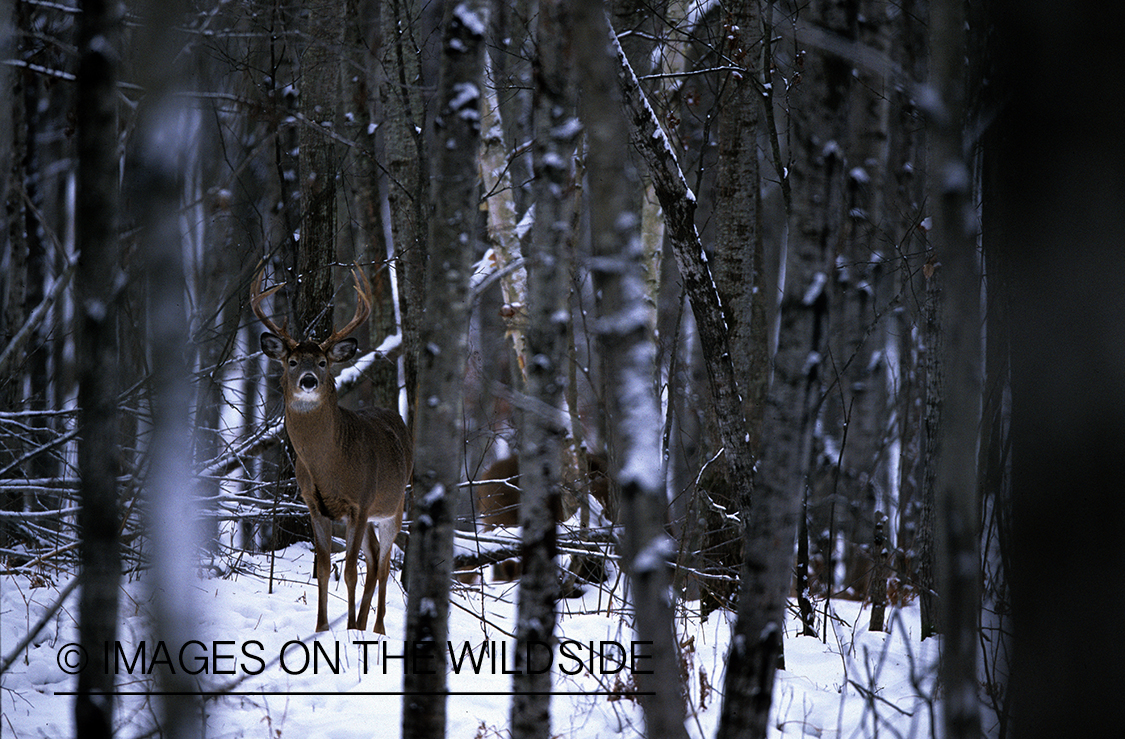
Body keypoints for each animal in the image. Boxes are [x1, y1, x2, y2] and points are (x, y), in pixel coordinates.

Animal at [251, 263, 412, 634]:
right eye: (293, 361)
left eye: (323, 362)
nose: (309, 381)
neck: (331, 464)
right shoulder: (314, 504)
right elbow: (324, 568)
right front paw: (323, 627)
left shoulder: (360, 503)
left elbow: (350, 571)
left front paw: (349, 629)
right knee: (374, 557)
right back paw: (364, 623)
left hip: (393, 505)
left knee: (383, 564)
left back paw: (376, 628)